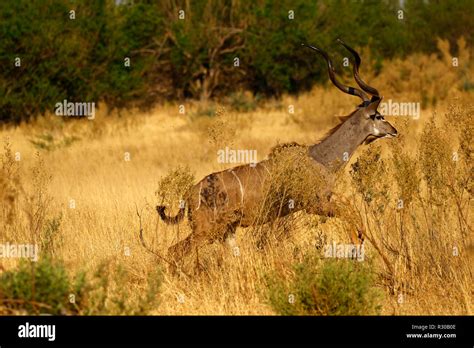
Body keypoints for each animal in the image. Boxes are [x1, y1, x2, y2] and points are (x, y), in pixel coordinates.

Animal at [147, 39, 396, 264]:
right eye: (378, 116)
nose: (394, 130)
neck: (320, 158)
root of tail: (189, 194)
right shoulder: (315, 205)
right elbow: (349, 212)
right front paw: (357, 245)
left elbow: (351, 206)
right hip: (206, 231)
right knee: (175, 251)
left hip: (226, 231)